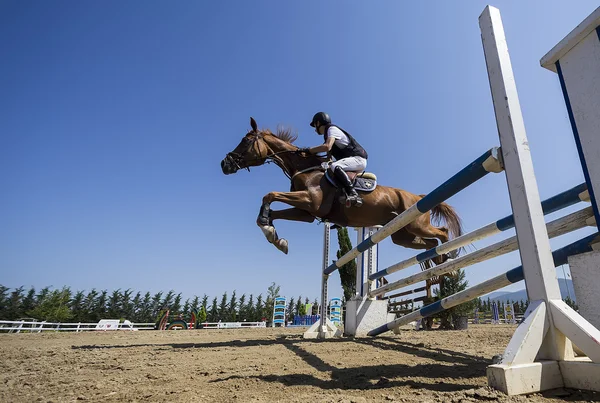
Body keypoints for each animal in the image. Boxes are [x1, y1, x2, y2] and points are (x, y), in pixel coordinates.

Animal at [221, 117, 464, 262]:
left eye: (246, 141)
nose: (225, 164)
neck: (305, 168)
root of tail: (418, 196)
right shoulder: (306, 212)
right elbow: (273, 210)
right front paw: (274, 235)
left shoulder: (310, 201)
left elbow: (269, 194)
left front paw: (268, 227)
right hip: (403, 234)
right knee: (429, 243)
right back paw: (439, 263)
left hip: (417, 225)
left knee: (442, 233)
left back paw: (450, 257)